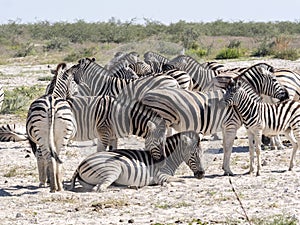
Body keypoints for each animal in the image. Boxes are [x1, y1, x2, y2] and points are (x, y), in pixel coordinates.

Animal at [25, 63, 77, 192]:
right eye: (74, 81)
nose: (75, 95)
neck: (54, 94)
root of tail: (51, 103)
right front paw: (45, 180)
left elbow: (43, 157)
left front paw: (44, 181)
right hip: (58, 136)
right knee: (55, 157)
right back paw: (57, 186)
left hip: (44, 135)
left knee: (51, 157)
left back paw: (56, 186)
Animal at [70, 130, 205, 192]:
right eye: (193, 154)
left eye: (202, 154)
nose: (202, 174)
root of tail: (80, 164)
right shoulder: (160, 175)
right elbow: (184, 180)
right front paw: (170, 184)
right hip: (113, 169)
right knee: (99, 188)